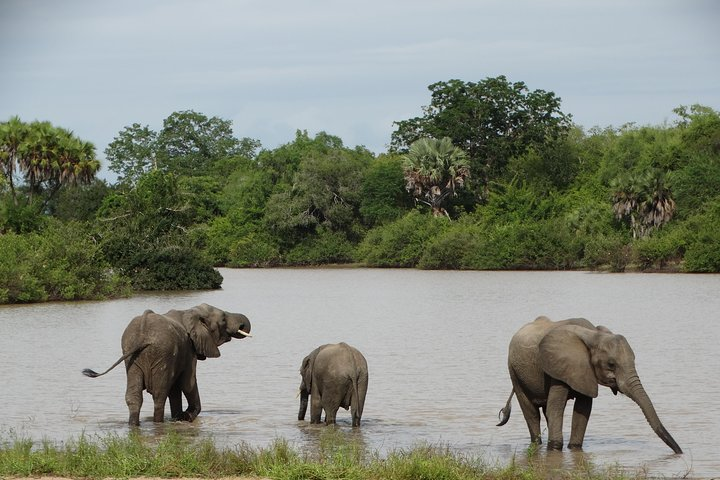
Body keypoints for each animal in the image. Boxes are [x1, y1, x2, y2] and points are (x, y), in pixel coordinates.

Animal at [82, 303, 251, 426]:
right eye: (223, 320)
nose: (241, 326)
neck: (190, 311)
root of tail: (143, 331)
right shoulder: (188, 350)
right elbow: (188, 383)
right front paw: (185, 417)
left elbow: (176, 389)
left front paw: (179, 417)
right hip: (162, 352)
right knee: (159, 395)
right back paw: (159, 423)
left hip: (131, 354)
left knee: (134, 396)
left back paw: (134, 425)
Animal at [497, 316, 682, 453]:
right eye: (611, 364)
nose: (680, 452)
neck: (592, 335)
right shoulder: (557, 365)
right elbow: (556, 408)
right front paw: (555, 449)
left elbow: (583, 409)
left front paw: (574, 448)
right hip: (513, 370)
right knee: (531, 413)